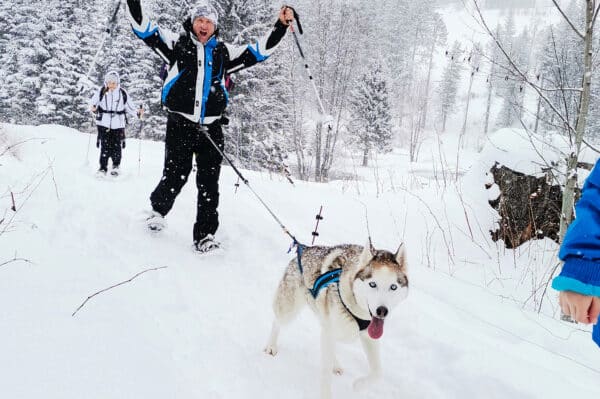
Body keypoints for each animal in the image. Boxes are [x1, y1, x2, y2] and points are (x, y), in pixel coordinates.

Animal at [266, 242, 410, 398]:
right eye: (373, 284)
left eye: (393, 287)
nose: (382, 311)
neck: (356, 308)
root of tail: (304, 248)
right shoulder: (330, 331)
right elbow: (325, 372)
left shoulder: (369, 337)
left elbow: (378, 373)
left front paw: (358, 386)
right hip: (289, 308)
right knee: (277, 321)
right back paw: (271, 346)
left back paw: (336, 365)